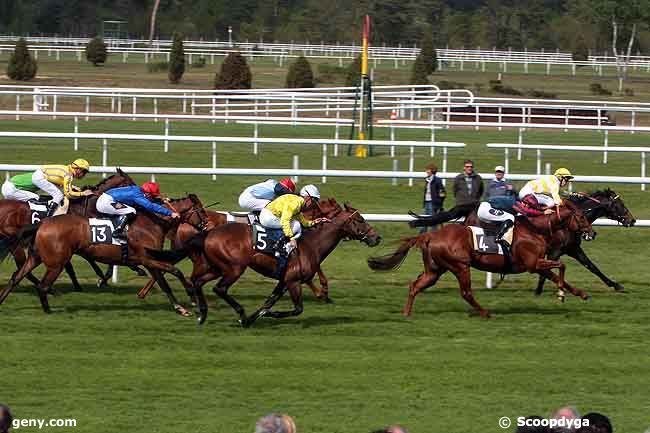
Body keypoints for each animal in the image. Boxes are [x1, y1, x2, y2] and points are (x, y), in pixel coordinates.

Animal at [0, 169, 135, 290]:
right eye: (131, 183)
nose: (140, 194)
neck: (82, 207)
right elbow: (86, 259)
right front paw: (102, 278)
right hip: (15, 243)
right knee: (22, 268)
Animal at [0, 195, 208, 314]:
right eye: (201, 210)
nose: (207, 225)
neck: (150, 224)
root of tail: (42, 223)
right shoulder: (146, 258)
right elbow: (175, 271)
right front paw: (191, 295)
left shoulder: (150, 261)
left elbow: (164, 283)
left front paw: (180, 308)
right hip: (56, 262)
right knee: (42, 285)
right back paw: (48, 310)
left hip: (36, 257)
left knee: (16, 277)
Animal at [147, 199, 380, 324]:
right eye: (360, 220)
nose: (376, 237)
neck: (312, 243)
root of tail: (207, 232)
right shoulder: (293, 281)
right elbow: (298, 308)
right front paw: (267, 315)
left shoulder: (284, 280)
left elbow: (269, 301)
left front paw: (256, 317)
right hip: (234, 268)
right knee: (219, 288)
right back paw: (237, 313)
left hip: (215, 266)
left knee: (197, 281)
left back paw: (202, 313)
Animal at [368, 202, 588, 318]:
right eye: (581, 217)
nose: (591, 232)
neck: (535, 229)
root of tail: (430, 235)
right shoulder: (532, 263)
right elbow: (562, 265)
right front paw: (560, 294)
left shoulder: (536, 264)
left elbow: (557, 274)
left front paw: (580, 293)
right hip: (460, 266)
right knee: (466, 292)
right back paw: (486, 313)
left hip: (435, 270)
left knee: (415, 286)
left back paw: (406, 313)